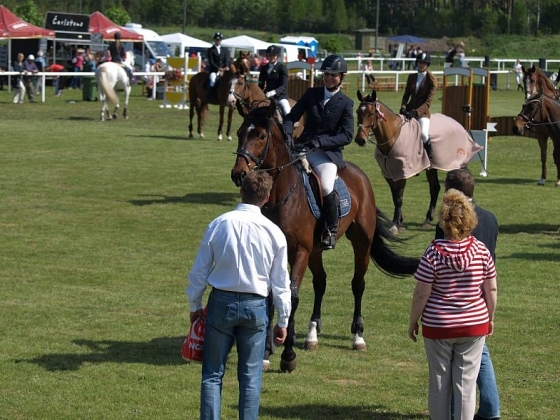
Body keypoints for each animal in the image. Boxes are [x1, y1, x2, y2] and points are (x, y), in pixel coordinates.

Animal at [229, 100, 420, 372]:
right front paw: (267, 351)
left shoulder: (300, 251)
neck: (282, 196)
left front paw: (288, 356)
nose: (239, 174)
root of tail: (359, 174)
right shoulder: (281, 253)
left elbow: (293, 295)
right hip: (316, 252)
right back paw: (312, 334)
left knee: (358, 284)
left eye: (261, 136)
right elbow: (273, 297)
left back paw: (357, 336)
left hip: (360, 242)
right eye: (239, 133)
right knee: (321, 283)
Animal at [354, 90, 482, 233]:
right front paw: (400, 221)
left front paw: (395, 225)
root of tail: (456, 123)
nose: (360, 140)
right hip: (432, 168)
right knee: (434, 188)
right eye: (358, 111)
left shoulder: (402, 173)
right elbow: (395, 196)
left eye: (371, 114)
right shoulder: (389, 174)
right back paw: (427, 220)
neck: (394, 135)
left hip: (456, 164)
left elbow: (398, 199)